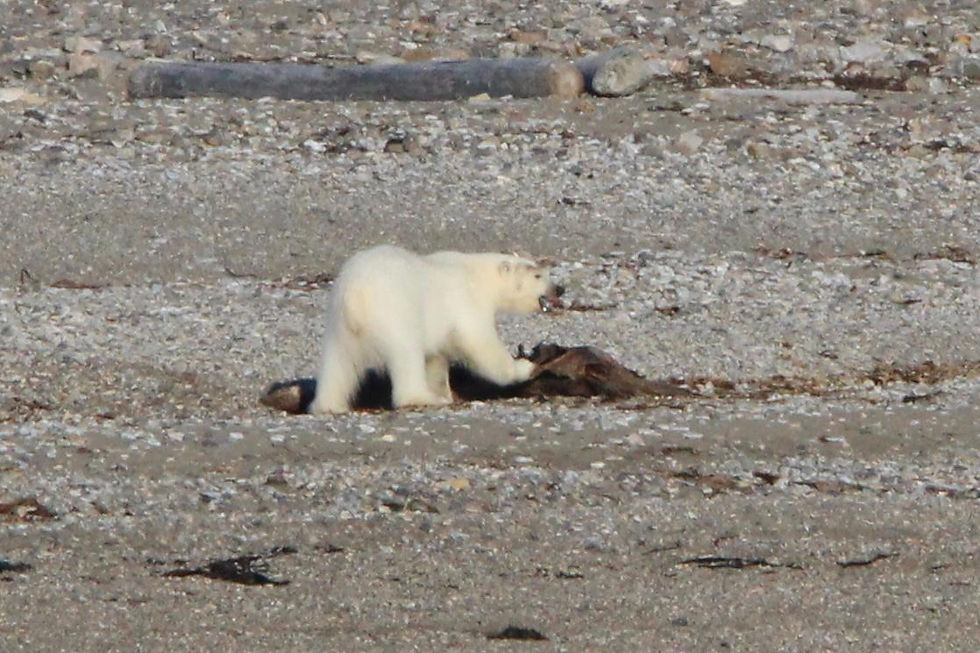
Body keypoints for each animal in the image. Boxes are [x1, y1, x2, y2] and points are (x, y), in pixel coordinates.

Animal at [310, 245, 563, 414]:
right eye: (537, 275)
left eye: (546, 273)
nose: (560, 289)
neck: (476, 274)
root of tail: (355, 294)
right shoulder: (466, 301)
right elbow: (480, 342)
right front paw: (525, 367)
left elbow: (437, 358)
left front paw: (443, 391)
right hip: (394, 313)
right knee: (406, 355)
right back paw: (421, 397)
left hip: (338, 324)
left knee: (337, 364)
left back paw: (328, 405)